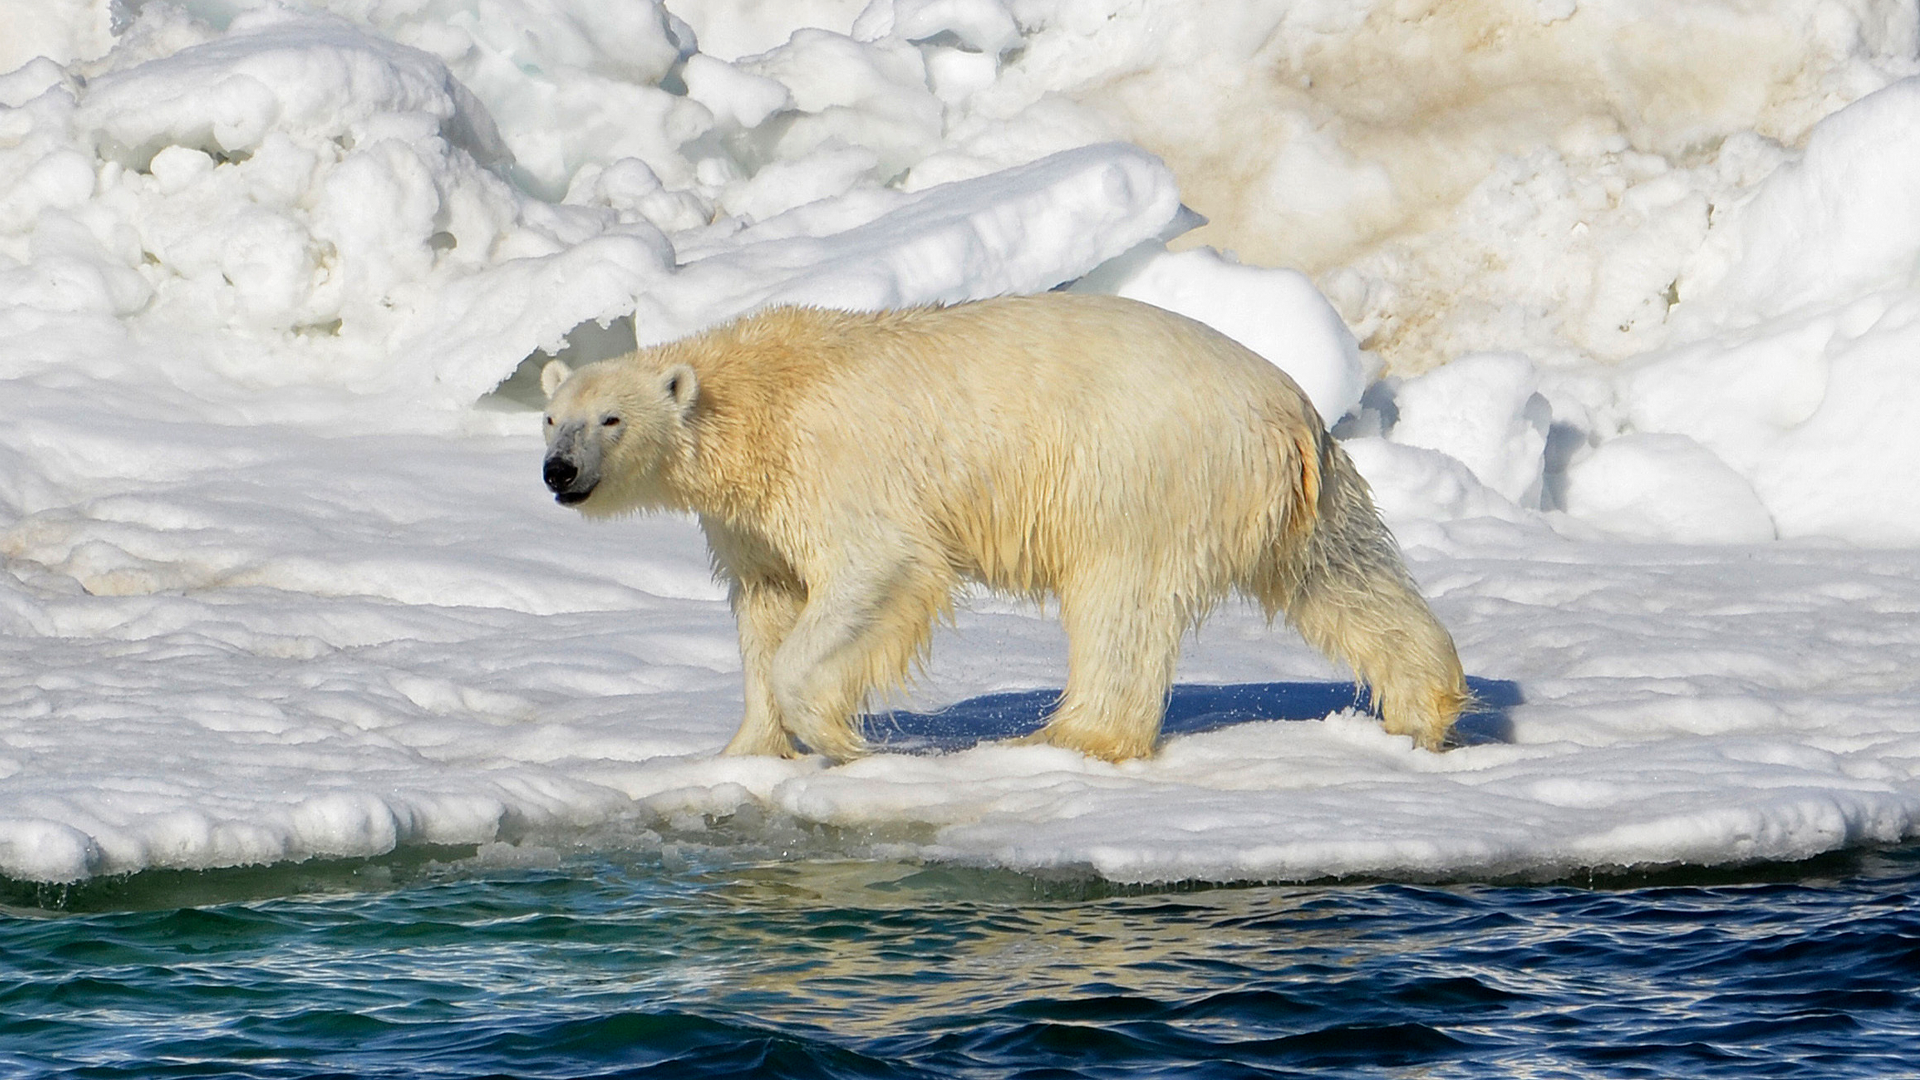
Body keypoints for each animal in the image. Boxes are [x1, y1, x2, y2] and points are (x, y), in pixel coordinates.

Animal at [540, 292, 1469, 762]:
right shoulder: (754, 518)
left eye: (611, 419)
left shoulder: (839, 468)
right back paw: (1422, 710)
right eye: (552, 419)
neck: (763, 396)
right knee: (1344, 578)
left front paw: (840, 739)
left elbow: (877, 571)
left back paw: (1069, 736)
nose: (560, 472)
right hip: (1299, 494)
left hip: (1141, 472)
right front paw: (745, 751)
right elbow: (767, 606)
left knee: (1120, 603)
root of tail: (1289, 412)